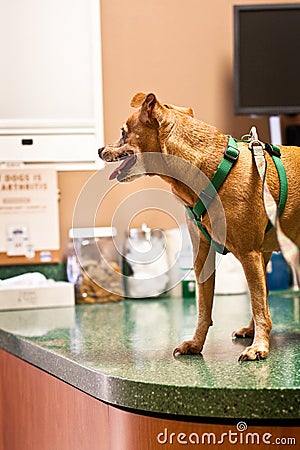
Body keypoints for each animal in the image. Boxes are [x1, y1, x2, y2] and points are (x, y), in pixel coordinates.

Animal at [99, 92, 300, 362]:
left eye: (123, 132)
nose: (100, 149)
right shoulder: (203, 255)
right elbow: (204, 308)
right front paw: (196, 343)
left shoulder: (249, 254)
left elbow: (257, 303)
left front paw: (259, 347)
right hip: (265, 253)